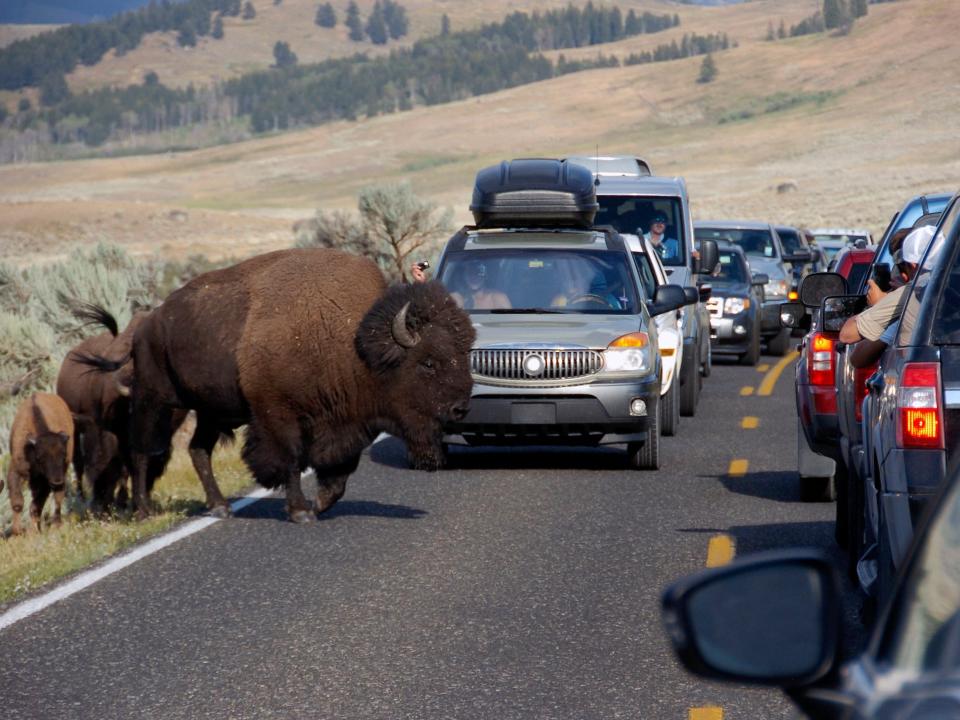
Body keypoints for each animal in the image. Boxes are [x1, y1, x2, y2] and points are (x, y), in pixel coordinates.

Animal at [4, 394, 75, 536]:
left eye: (64, 454)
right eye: (40, 457)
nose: (57, 481)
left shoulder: (45, 482)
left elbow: (35, 506)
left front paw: (33, 532)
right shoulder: (15, 471)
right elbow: (18, 503)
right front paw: (17, 532)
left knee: (57, 498)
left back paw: (56, 525)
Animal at [77, 248, 474, 524]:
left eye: (464, 353)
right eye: (427, 362)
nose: (460, 407)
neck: (352, 343)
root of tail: (146, 323)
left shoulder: (345, 424)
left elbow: (339, 473)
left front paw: (319, 504)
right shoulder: (278, 416)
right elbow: (292, 460)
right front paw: (301, 511)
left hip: (211, 411)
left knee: (198, 450)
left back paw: (220, 507)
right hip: (156, 400)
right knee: (142, 450)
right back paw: (144, 511)